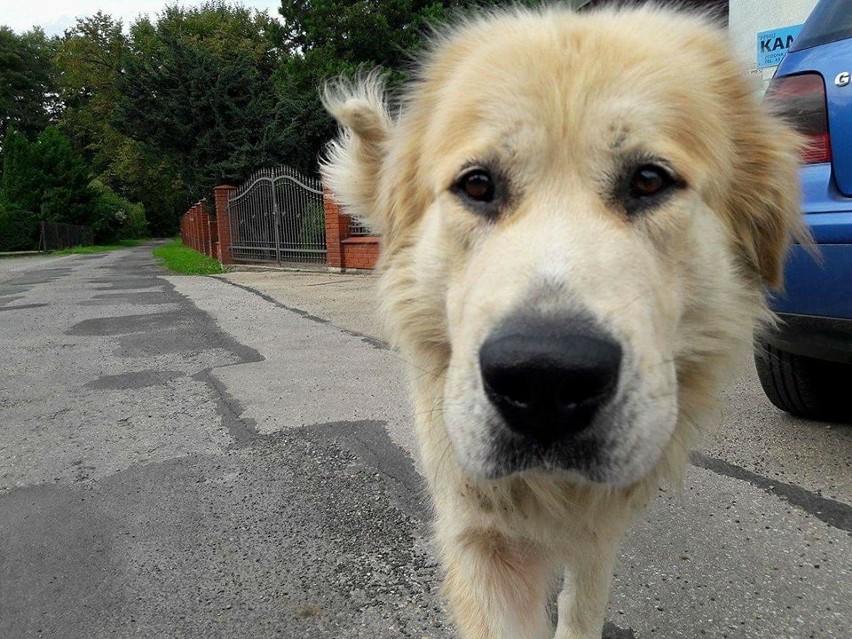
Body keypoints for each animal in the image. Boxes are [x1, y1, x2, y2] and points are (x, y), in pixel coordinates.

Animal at [322, 6, 804, 639]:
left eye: (649, 180)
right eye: (477, 184)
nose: (545, 377)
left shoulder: (598, 525)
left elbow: (582, 602)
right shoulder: (480, 532)